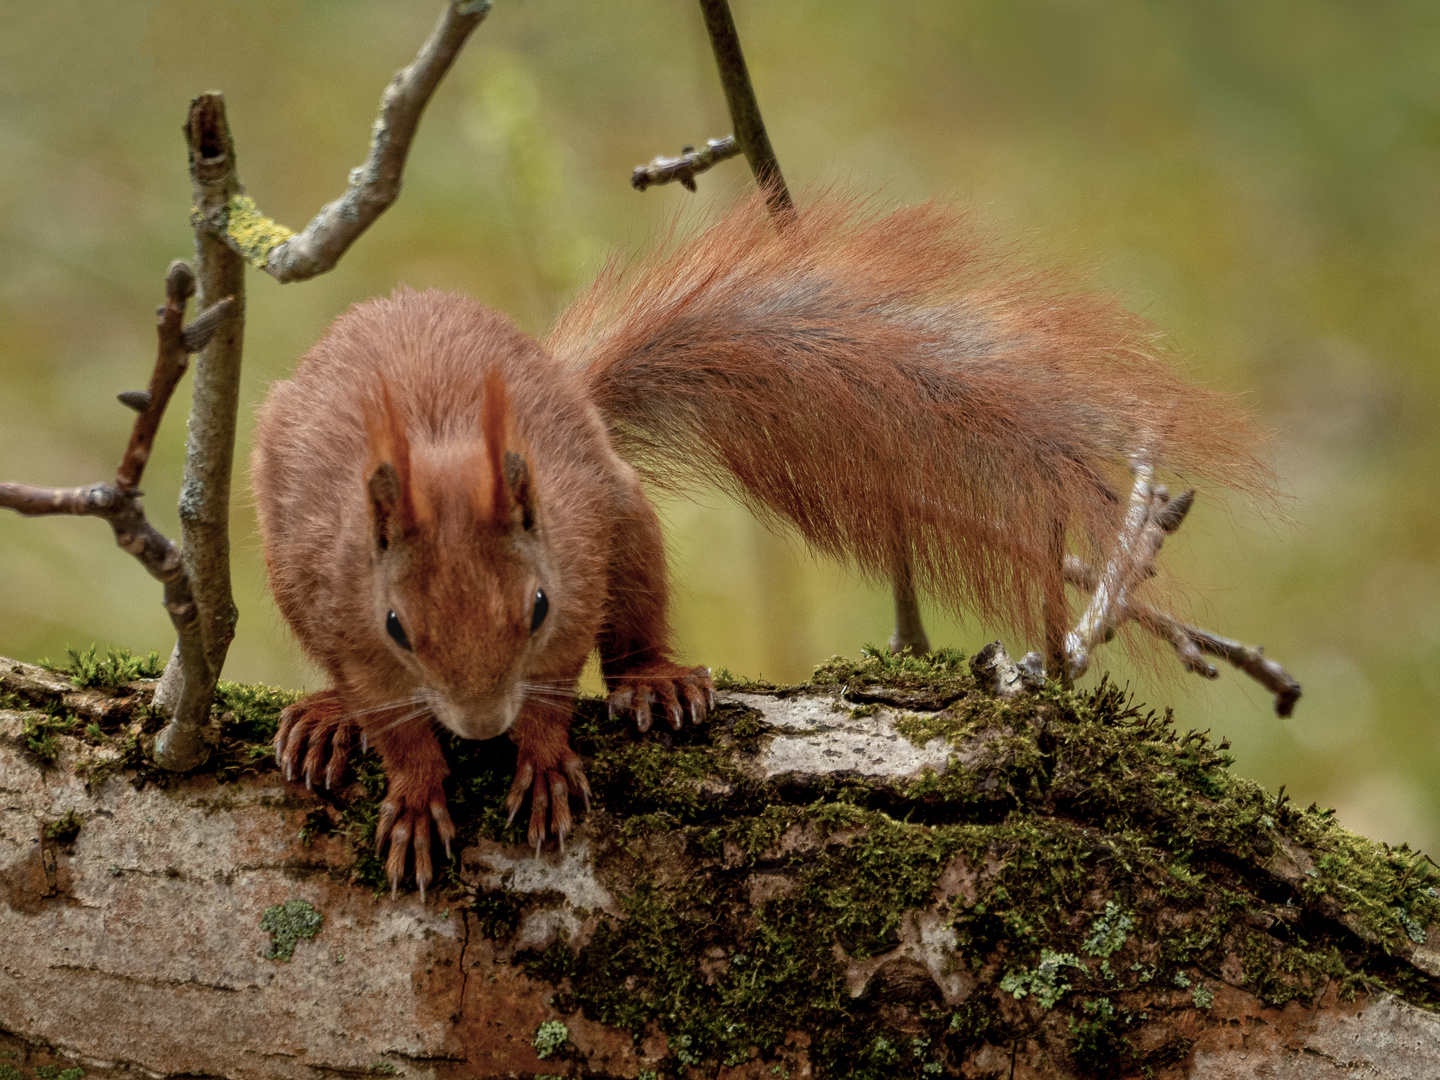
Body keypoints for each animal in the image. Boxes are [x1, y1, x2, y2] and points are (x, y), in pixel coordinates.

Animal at [253, 192, 1267, 898]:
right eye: (399, 624)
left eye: (534, 606)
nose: (480, 726)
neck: (451, 452)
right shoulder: (345, 607)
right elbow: (389, 712)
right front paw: (416, 788)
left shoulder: (575, 562)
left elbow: (557, 680)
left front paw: (538, 756)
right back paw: (326, 720)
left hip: (623, 519)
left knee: (635, 628)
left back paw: (655, 684)